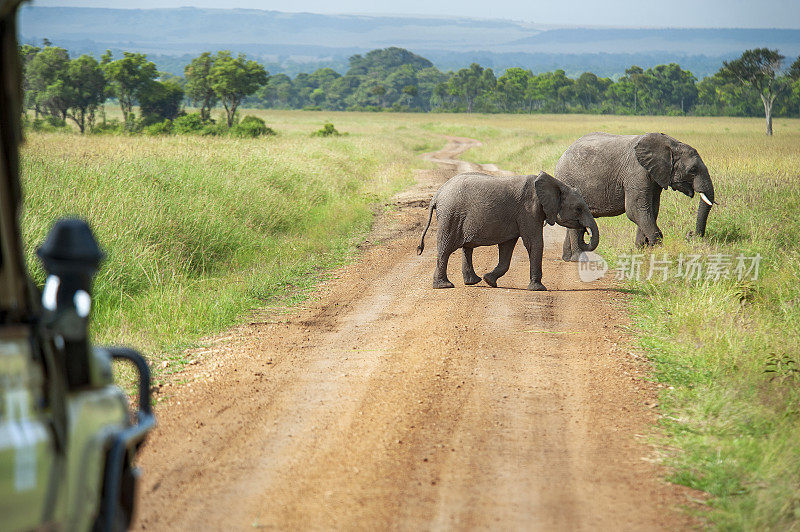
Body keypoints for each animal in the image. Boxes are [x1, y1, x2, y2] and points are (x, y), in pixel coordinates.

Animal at [418, 171, 600, 290]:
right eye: (578, 209)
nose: (585, 231)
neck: (557, 184)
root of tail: (437, 195)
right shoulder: (528, 211)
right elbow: (534, 243)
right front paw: (538, 289)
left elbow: (507, 248)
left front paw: (489, 281)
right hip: (451, 216)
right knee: (445, 249)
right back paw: (444, 286)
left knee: (466, 248)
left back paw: (473, 282)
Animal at [552, 131, 716, 260]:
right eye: (693, 170)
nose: (691, 235)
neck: (671, 144)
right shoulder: (636, 173)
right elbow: (636, 210)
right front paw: (657, 251)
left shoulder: (654, 177)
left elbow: (651, 210)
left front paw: (641, 251)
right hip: (568, 180)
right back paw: (577, 259)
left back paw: (567, 258)